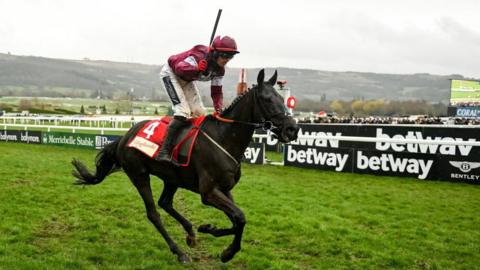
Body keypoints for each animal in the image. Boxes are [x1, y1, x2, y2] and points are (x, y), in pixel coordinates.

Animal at [71, 69, 298, 264]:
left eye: (282, 99)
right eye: (267, 99)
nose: (292, 129)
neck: (223, 138)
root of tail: (125, 136)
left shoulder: (224, 189)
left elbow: (237, 220)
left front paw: (209, 230)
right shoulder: (208, 192)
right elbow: (240, 217)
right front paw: (227, 251)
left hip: (172, 178)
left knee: (165, 203)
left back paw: (190, 232)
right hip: (139, 174)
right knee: (154, 213)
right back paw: (179, 252)